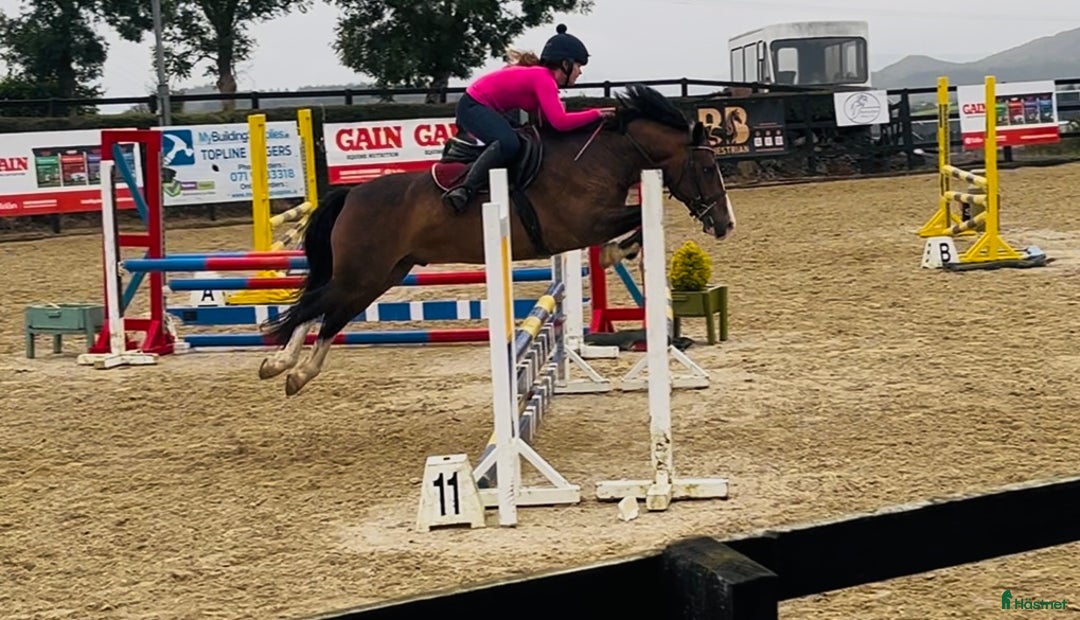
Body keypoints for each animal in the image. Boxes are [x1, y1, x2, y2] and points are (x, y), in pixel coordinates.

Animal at [258, 83, 736, 396]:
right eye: (707, 168)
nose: (725, 224)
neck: (598, 158)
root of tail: (353, 193)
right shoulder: (580, 224)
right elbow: (640, 215)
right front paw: (619, 250)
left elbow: (641, 217)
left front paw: (624, 249)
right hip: (362, 272)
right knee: (315, 305)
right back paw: (282, 365)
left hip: (382, 274)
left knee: (329, 313)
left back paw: (293, 371)